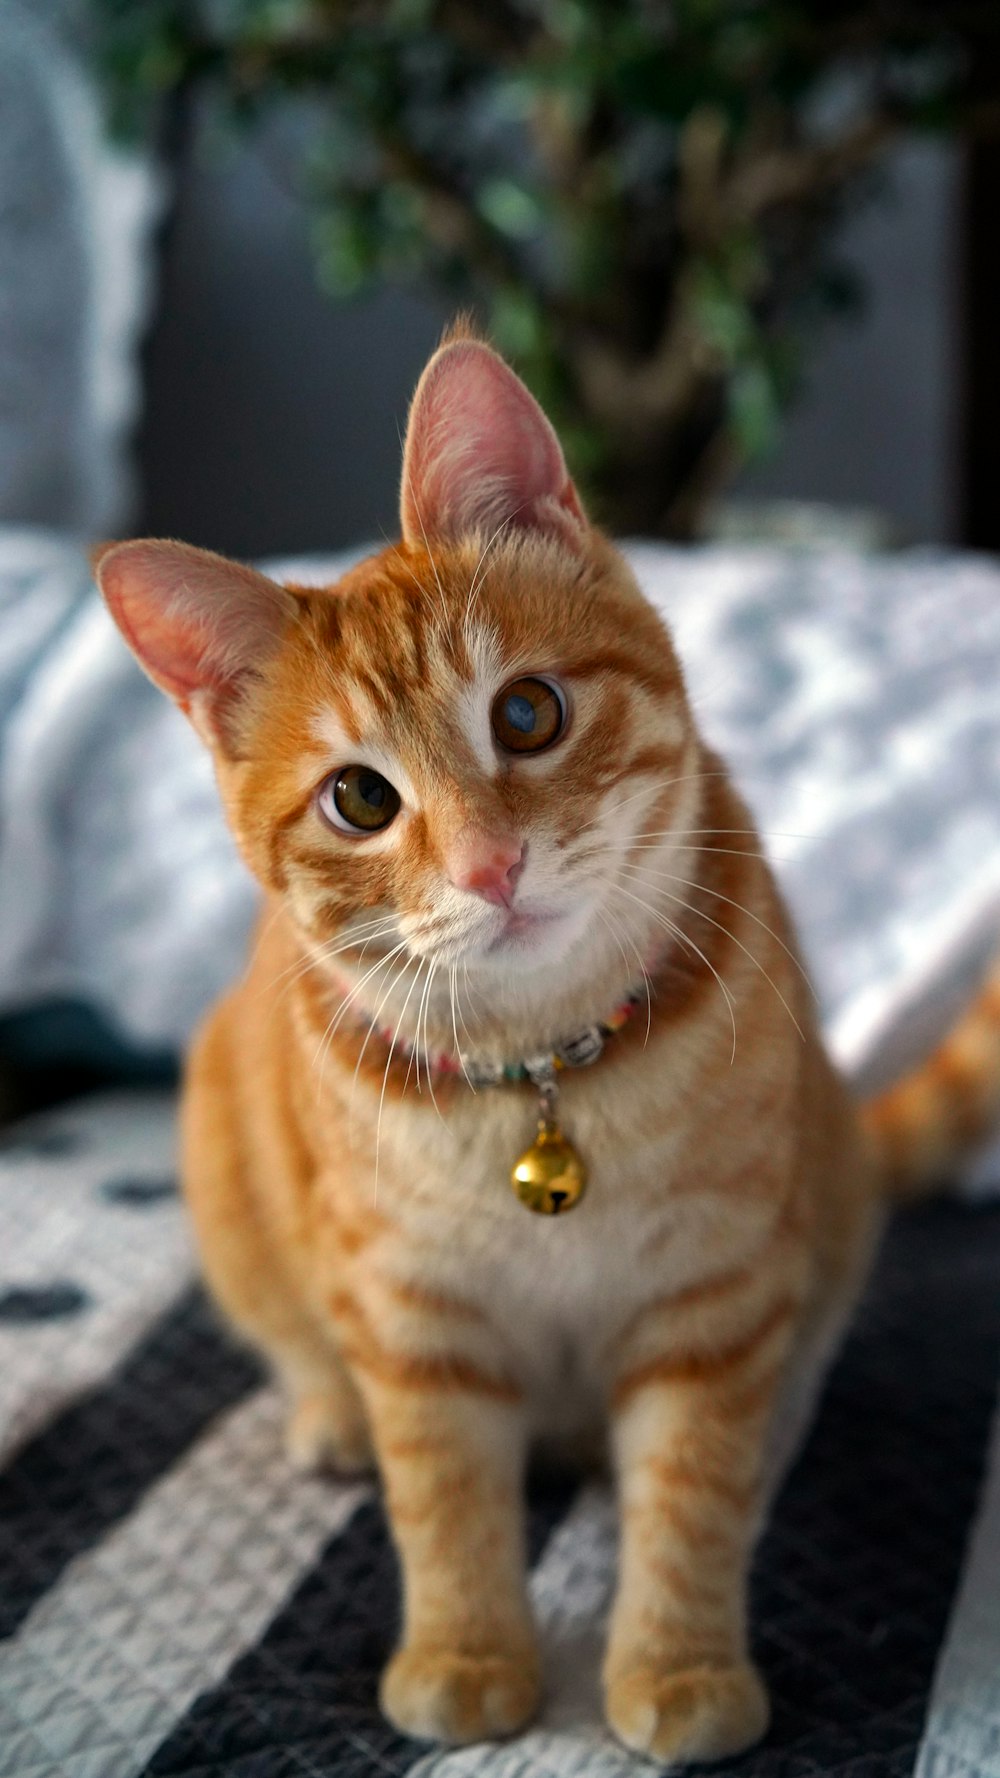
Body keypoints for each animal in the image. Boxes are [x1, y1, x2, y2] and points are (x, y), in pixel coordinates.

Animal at [93, 330, 996, 1763]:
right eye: (360, 797)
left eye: (525, 715)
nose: (488, 864)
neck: (542, 1078)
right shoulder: (412, 1314)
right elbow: (445, 1496)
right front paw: (467, 1652)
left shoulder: (713, 1297)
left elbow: (689, 1493)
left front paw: (678, 1662)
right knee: (306, 1349)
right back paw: (328, 1416)